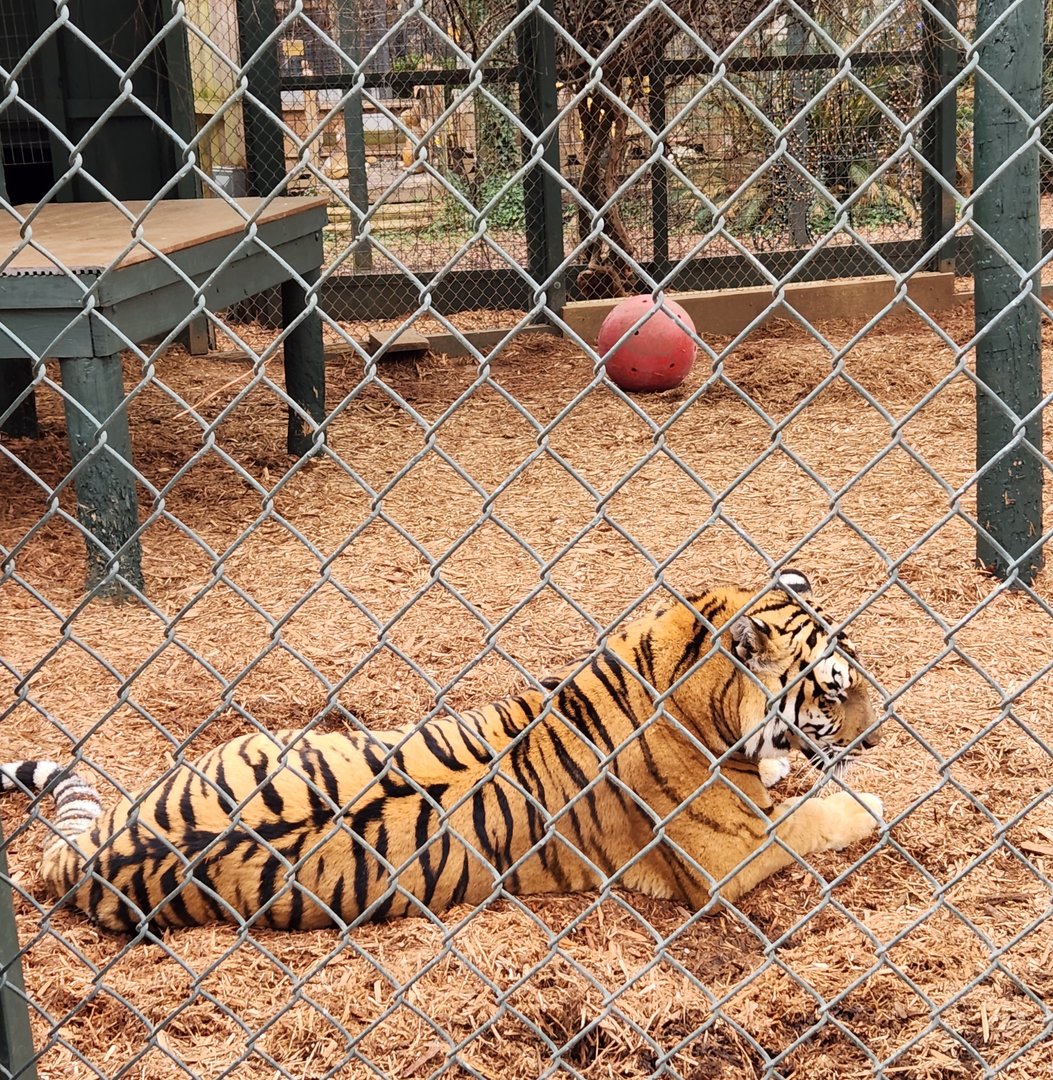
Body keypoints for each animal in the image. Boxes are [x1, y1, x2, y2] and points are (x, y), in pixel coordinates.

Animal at [0, 569, 883, 934]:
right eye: (833, 693)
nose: (880, 735)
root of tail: (85, 855)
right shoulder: (727, 857)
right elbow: (812, 819)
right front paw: (869, 800)